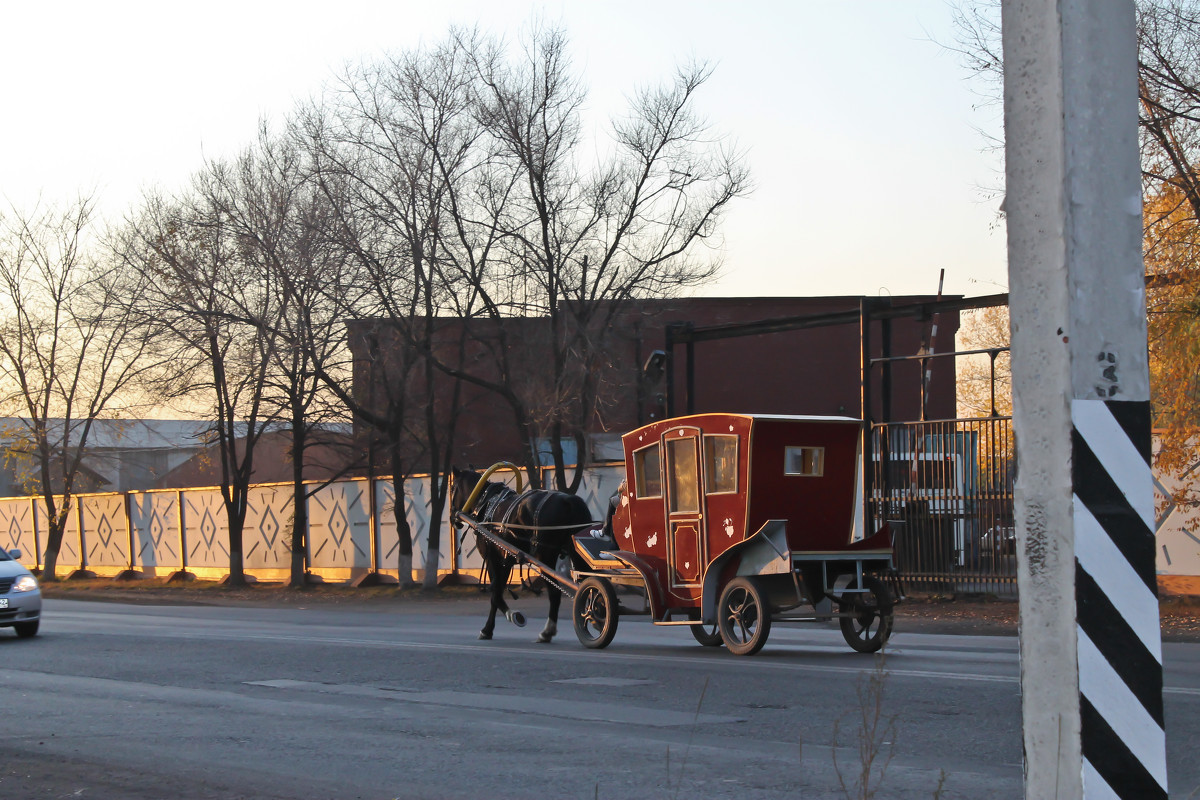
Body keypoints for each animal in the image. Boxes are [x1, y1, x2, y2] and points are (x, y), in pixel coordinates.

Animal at [451, 470, 595, 642]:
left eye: (452, 488)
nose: (452, 518)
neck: (486, 504)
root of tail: (568, 500)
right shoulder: (506, 561)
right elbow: (498, 591)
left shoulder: (495, 560)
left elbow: (495, 592)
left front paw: (495, 625)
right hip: (576, 555)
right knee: (586, 586)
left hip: (544, 557)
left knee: (555, 592)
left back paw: (547, 631)